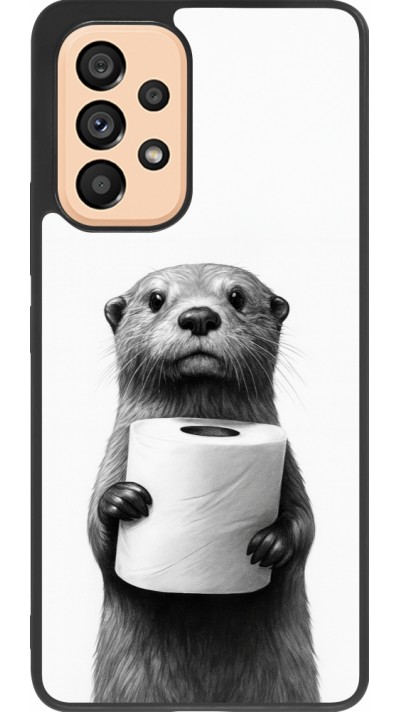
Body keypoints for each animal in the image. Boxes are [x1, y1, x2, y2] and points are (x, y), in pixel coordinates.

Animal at [88, 263, 318, 704]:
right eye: (156, 299)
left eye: (237, 297)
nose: (199, 316)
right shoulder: (114, 458)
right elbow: (96, 538)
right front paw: (121, 501)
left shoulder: (289, 468)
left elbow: (306, 524)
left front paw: (272, 542)